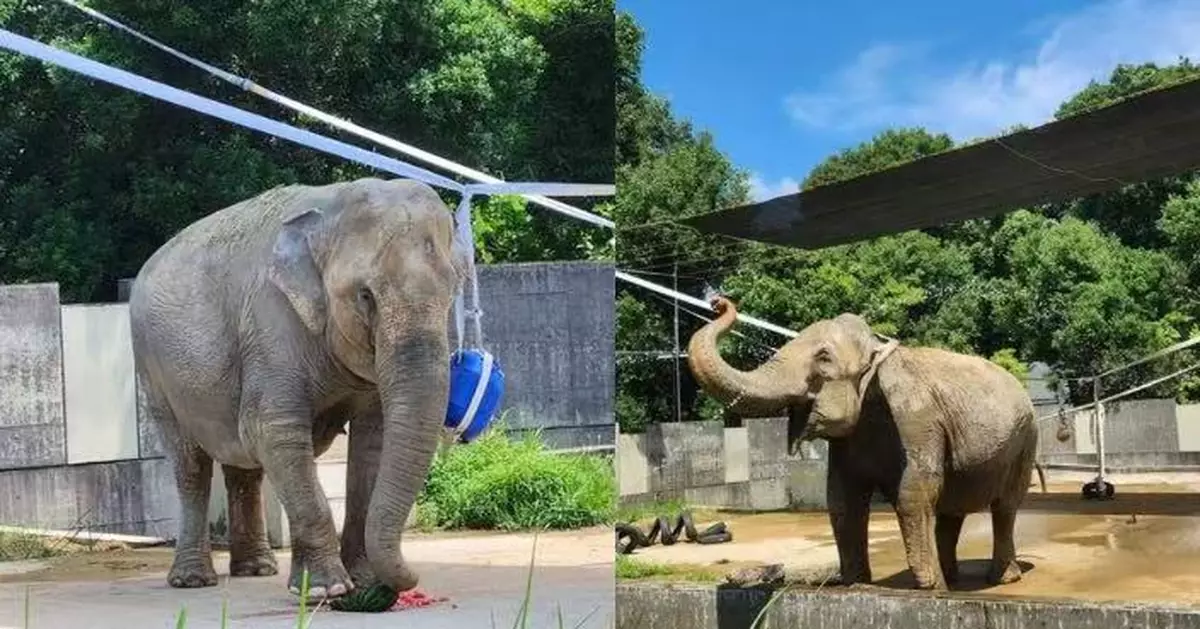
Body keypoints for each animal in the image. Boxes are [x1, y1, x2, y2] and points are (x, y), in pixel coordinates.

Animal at [128, 177, 462, 598]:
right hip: (153, 371)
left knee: (243, 465)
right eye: (365, 295)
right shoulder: (270, 323)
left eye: (453, 293)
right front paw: (325, 590)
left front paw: (365, 582)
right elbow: (273, 430)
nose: (411, 580)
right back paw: (192, 580)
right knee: (191, 464)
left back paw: (256, 569)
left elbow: (375, 437)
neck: (332, 207)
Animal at [686, 297, 1043, 591]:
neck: (875, 354)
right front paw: (856, 582)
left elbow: (914, 493)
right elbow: (842, 498)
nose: (718, 302)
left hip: (1025, 441)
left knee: (1005, 507)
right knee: (951, 508)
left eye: (823, 357)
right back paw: (952, 579)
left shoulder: (917, 421)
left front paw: (930, 591)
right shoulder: (850, 441)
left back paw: (998, 579)